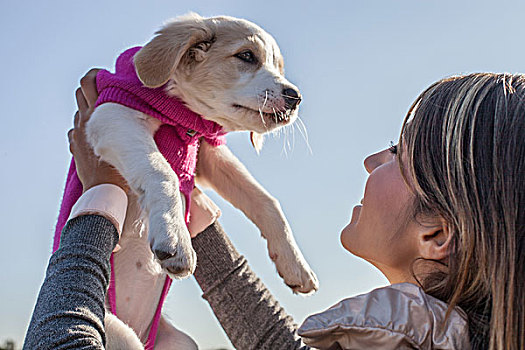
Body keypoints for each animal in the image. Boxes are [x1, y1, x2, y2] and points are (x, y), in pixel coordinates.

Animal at [84, 12, 318, 348]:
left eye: (278, 67)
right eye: (246, 56)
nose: (295, 98)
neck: (184, 115)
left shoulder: (209, 154)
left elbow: (265, 200)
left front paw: (295, 265)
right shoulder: (112, 116)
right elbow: (162, 170)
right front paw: (175, 237)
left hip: (180, 342)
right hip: (117, 331)